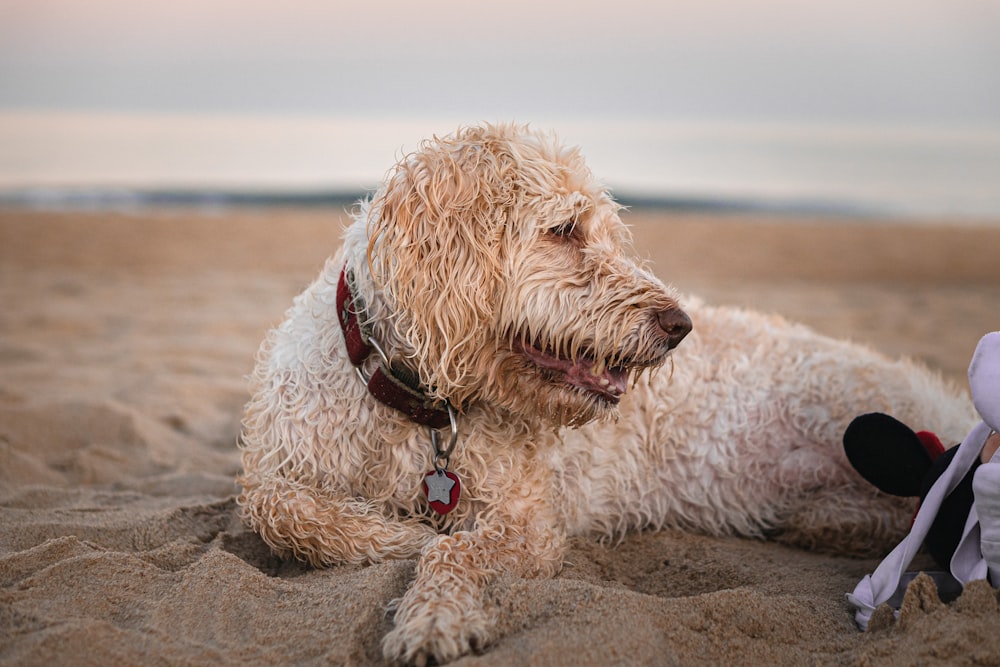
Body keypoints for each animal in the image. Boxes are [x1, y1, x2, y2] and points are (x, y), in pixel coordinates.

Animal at [236, 124, 976, 664]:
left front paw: (434, 614)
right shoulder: (278, 463)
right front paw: (398, 536)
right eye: (564, 230)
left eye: (607, 233)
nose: (680, 326)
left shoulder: (525, 515)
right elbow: (278, 509)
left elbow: (455, 550)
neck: (421, 405)